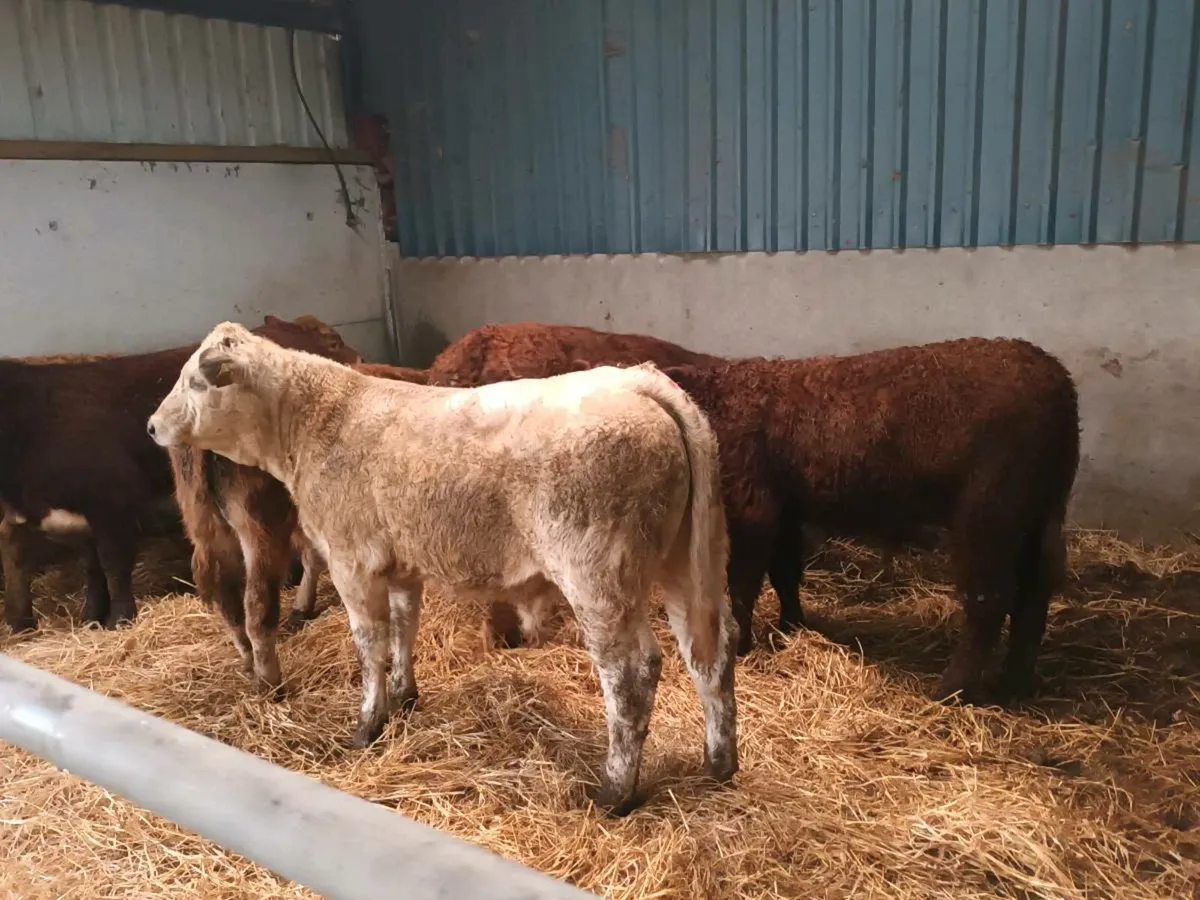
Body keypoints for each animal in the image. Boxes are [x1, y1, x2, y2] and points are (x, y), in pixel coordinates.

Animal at [147, 321, 739, 815]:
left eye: (194, 383)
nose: (151, 426)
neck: (319, 419)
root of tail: (637, 383)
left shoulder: (351, 562)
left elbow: (369, 644)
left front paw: (368, 722)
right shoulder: (401, 564)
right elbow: (404, 627)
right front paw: (405, 695)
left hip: (600, 579)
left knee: (631, 676)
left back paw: (616, 791)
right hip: (687, 563)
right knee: (709, 653)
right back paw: (720, 763)